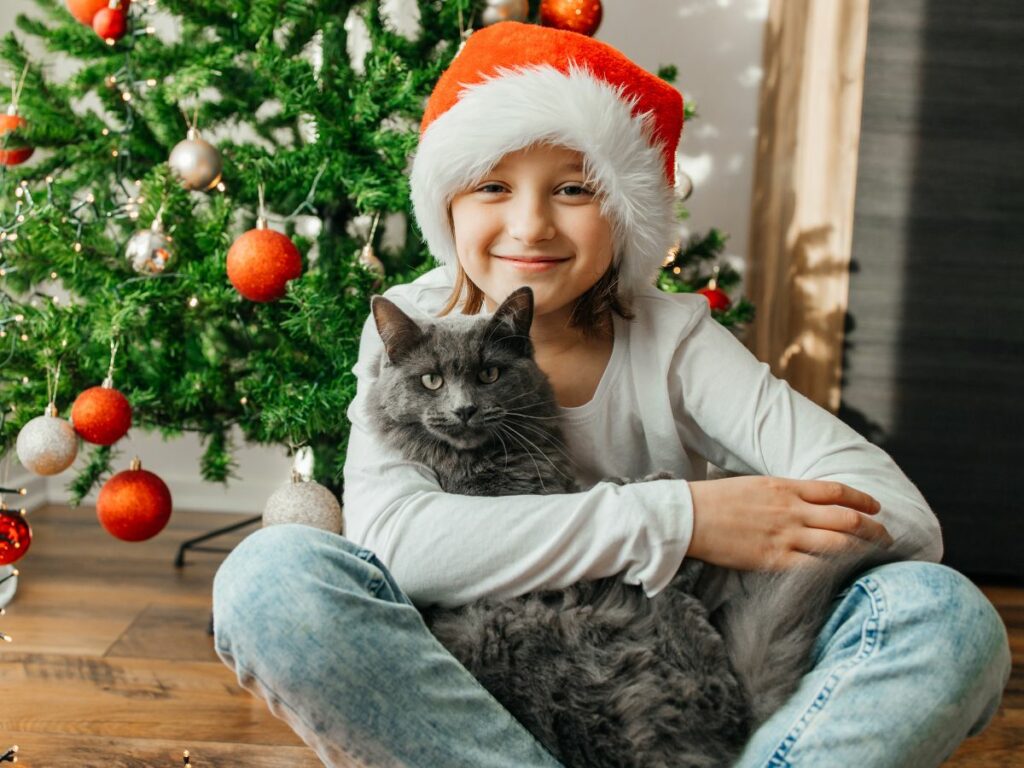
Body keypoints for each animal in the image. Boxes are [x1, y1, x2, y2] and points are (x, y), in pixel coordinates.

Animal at [364, 288, 876, 768]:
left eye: (489, 374)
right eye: (432, 380)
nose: (464, 409)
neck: (488, 459)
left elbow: (594, 492)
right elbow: (598, 497)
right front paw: (659, 488)